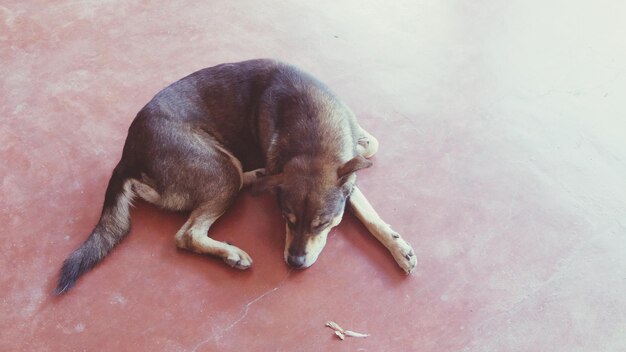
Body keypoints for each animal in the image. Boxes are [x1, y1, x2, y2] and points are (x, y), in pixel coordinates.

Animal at [53, 58, 414, 294]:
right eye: (286, 219)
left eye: (322, 224)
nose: (294, 263)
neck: (313, 139)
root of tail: (129, 153)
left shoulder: (346, 171)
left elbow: (368, 205)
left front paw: (398, 246)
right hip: (224, 171)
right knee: (186, 234)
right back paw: (232, 251)